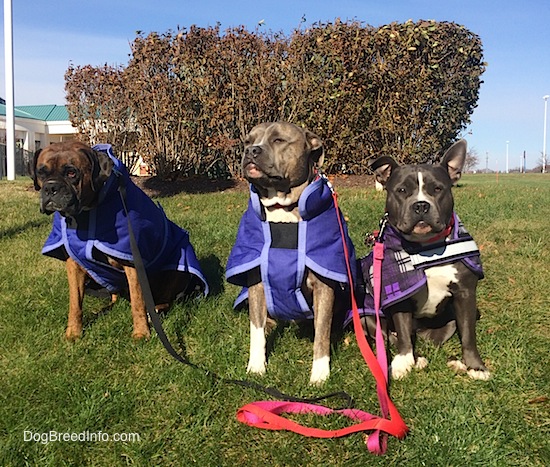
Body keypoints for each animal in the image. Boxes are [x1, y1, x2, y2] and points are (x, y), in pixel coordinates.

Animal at [356, 141, 494, 382]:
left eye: (438, 189)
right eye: (401, 190)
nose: (421, 205)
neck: (426, 249)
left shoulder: (466, 294)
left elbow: (468, 334)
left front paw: (475, 366)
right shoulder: (400, 295)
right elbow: (402, 334)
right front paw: (403, 362)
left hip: (447, 322)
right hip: (369, 315)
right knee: (390, 335)